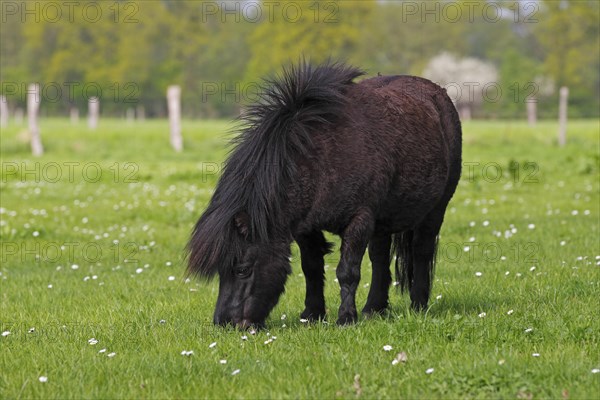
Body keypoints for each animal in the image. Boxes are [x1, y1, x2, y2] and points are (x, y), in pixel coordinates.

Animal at [188, 60, 460, 328]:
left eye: (243, 269)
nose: (224, 323)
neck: (321, 157)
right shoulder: (305, 227)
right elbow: (311, 267)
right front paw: (312, 314)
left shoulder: (359, 220)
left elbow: (347, 271)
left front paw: (346, 318)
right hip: (383, 220)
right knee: (380, 258)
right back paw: (374, 309)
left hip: (435, 210)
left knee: (421, 251)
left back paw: (418, 305)